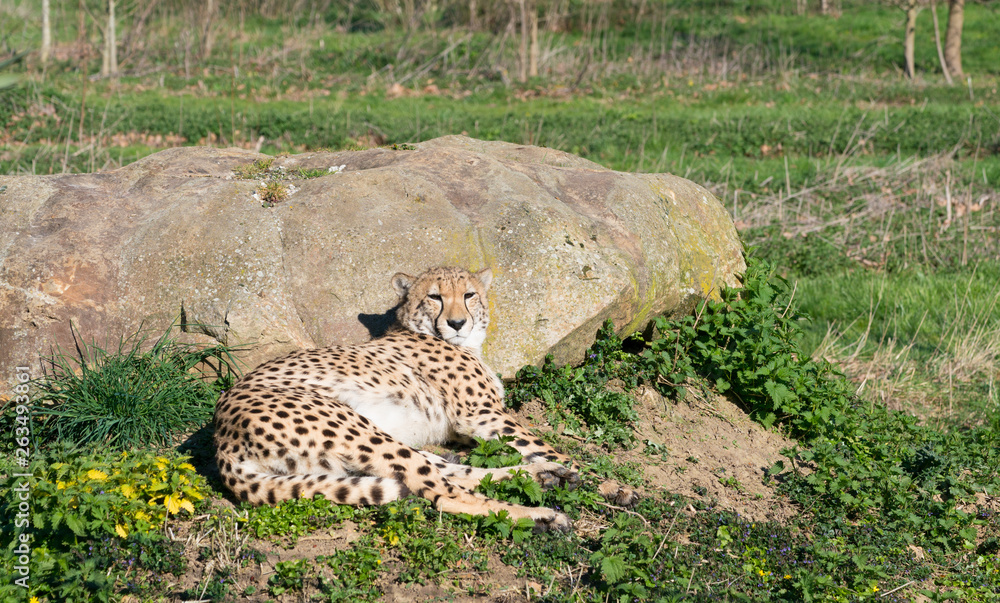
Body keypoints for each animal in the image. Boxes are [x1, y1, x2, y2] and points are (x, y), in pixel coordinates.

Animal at [213, 266, 637, 532]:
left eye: (468, 295)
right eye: (434, 297)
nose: (457, 322)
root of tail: (220, 435)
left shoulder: (471, 424)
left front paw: (580, 476)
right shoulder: (482, 414)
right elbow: (553, 446)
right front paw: (611, 486)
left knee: (453, 473)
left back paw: (545, 477)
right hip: (356, 427)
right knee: (444, 495)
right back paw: (544, 515)